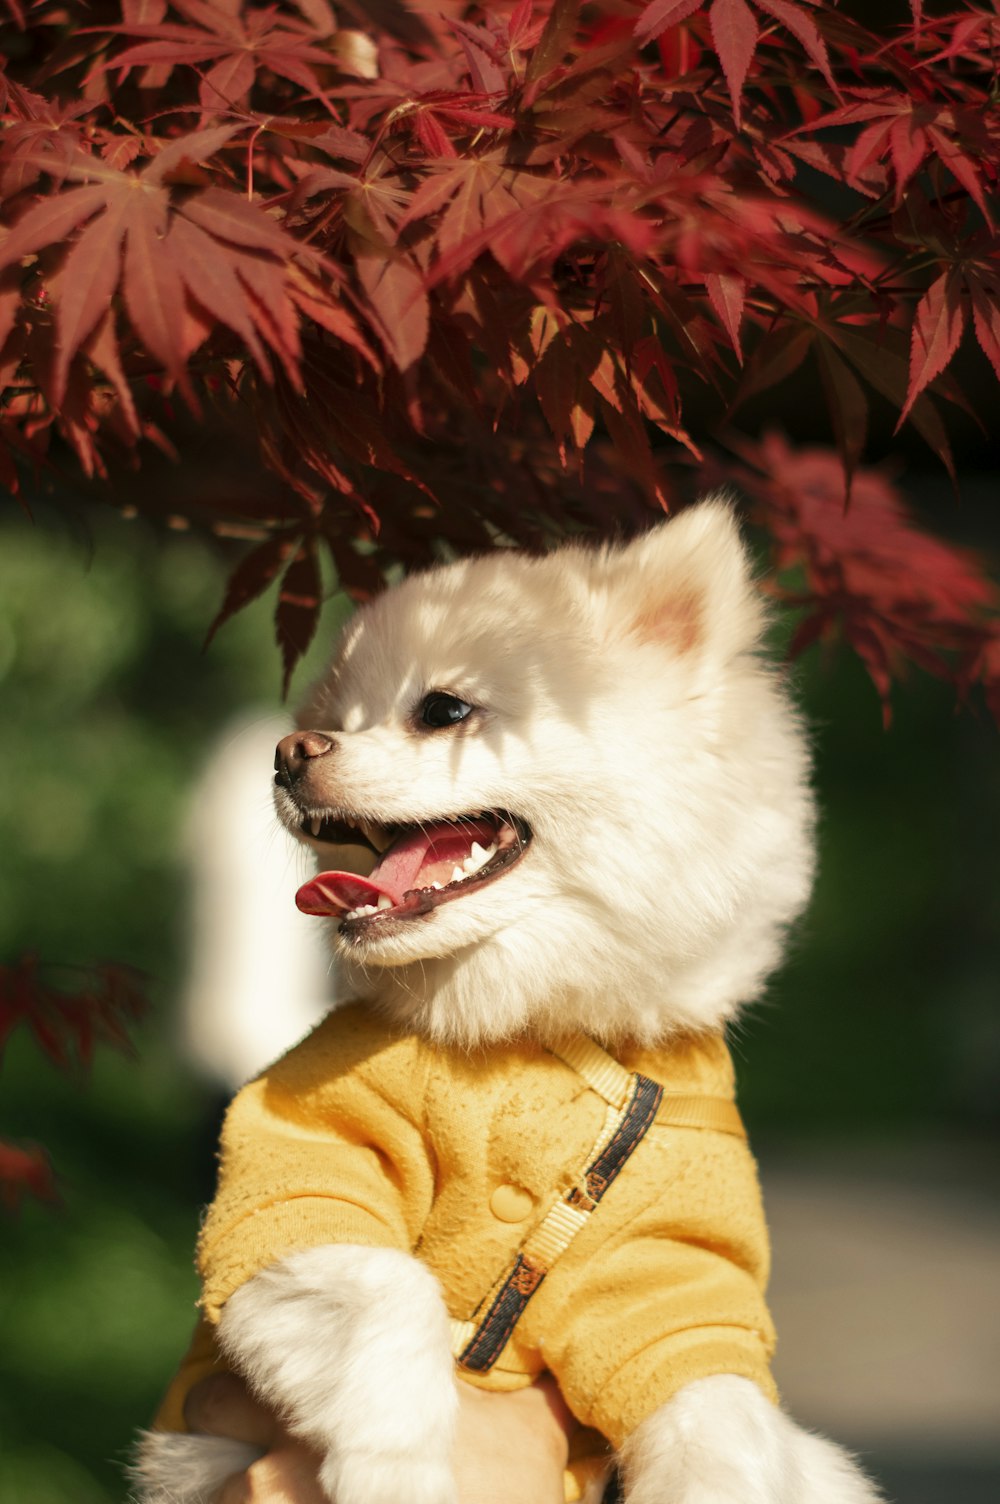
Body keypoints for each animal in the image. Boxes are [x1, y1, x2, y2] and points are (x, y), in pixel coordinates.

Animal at [134, 505, 884, 1504]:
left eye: (443, 711)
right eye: (330, 722)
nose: (289, 754)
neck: (527, 1029)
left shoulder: (671, 1295)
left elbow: (725, 1431)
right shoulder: (300, 1184)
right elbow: (391, 1296)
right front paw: (399, 1473)